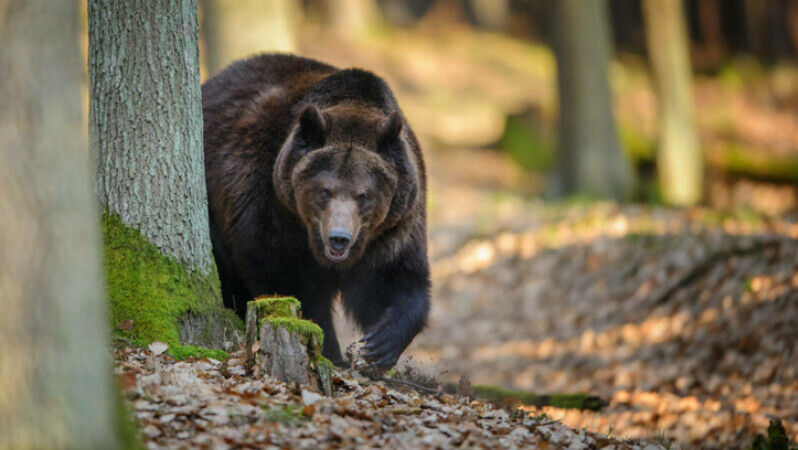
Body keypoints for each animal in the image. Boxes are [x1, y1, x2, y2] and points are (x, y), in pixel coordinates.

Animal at [205, 53, 432, 370]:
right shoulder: (271, 208)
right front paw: (331, 351)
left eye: (364, 195)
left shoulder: (393, 226)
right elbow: (289, 283)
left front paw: (380, 344)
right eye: (325, 190)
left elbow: (394, 279)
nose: (339, 238)